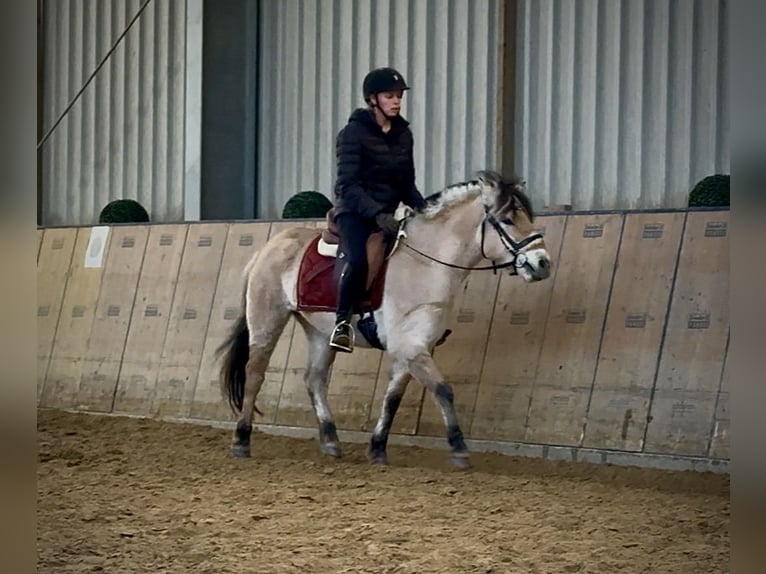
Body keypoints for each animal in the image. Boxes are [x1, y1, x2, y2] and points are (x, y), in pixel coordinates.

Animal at [217, 170, 552, 468]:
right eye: (507, 220)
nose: (543, 264)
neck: (425, 265)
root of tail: (269, 247)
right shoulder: (411, 345)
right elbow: (443, 389)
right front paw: (459, 449)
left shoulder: (411, 348)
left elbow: (393, 397)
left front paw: (378, 448)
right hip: (267, 319)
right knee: (255, 374)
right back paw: (241, 440)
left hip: (319, 332)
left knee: (314, 379)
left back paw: (331, 442)